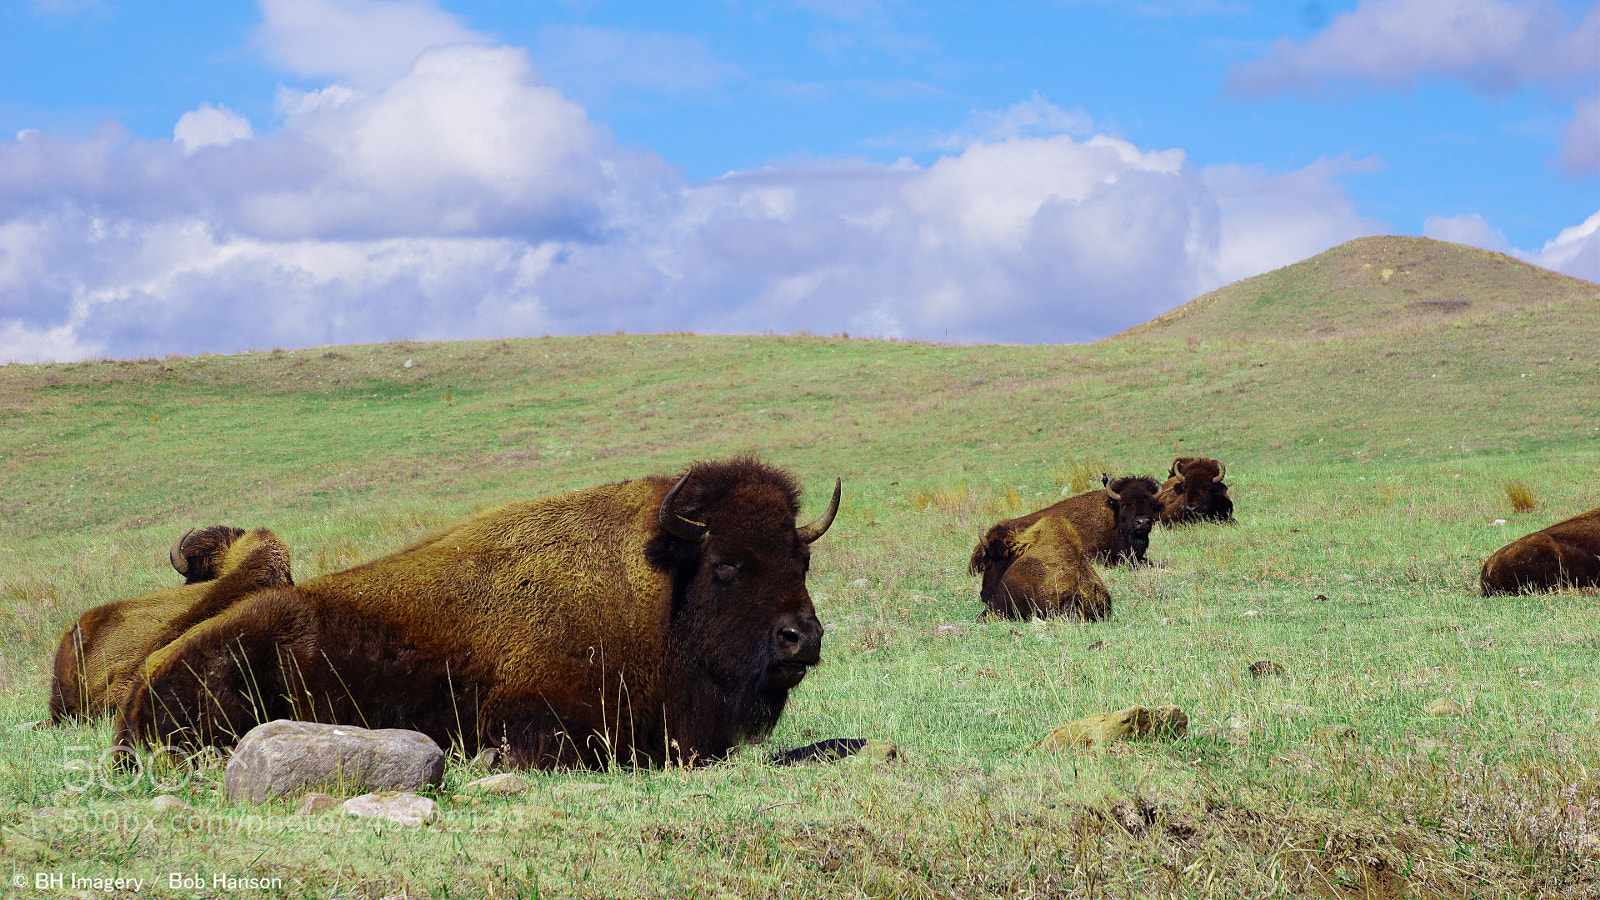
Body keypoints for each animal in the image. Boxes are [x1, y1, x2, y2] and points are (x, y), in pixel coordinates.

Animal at [111, 458, 840, 770]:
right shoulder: (530, 719)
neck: (663, 587)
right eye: (726, 564)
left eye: (801, 558)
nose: (801, 637)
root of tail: (143, 677)